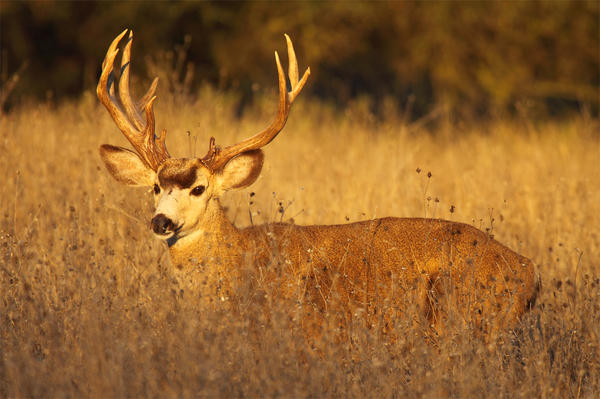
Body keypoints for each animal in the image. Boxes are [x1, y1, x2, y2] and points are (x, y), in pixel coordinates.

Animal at [98, 30, 540, 344]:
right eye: (156, 186)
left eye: (199, 189)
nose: (161, 222)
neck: (237, 264)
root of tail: (528, 271)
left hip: (458, 316)